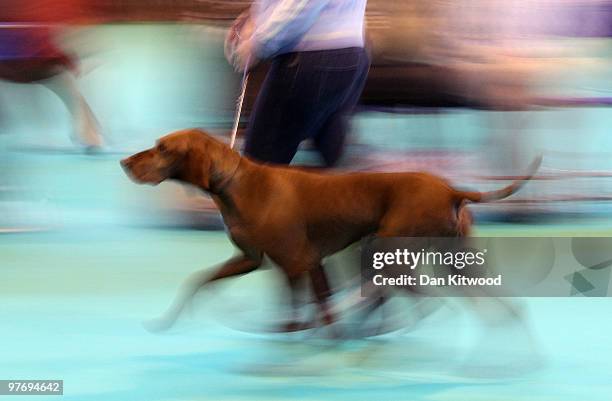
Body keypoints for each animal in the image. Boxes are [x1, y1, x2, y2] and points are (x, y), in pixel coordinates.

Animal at [120, 129, 540, 332]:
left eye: (162, 148)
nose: (124, 162)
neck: (235, 184)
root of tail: (453, 190)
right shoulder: (264, 261)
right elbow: (199, 280)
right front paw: (167, 320)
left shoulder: (296, 264)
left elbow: (304, 313)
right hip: (453, 261)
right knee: (499, 306)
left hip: (387, 251)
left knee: (421, 300)